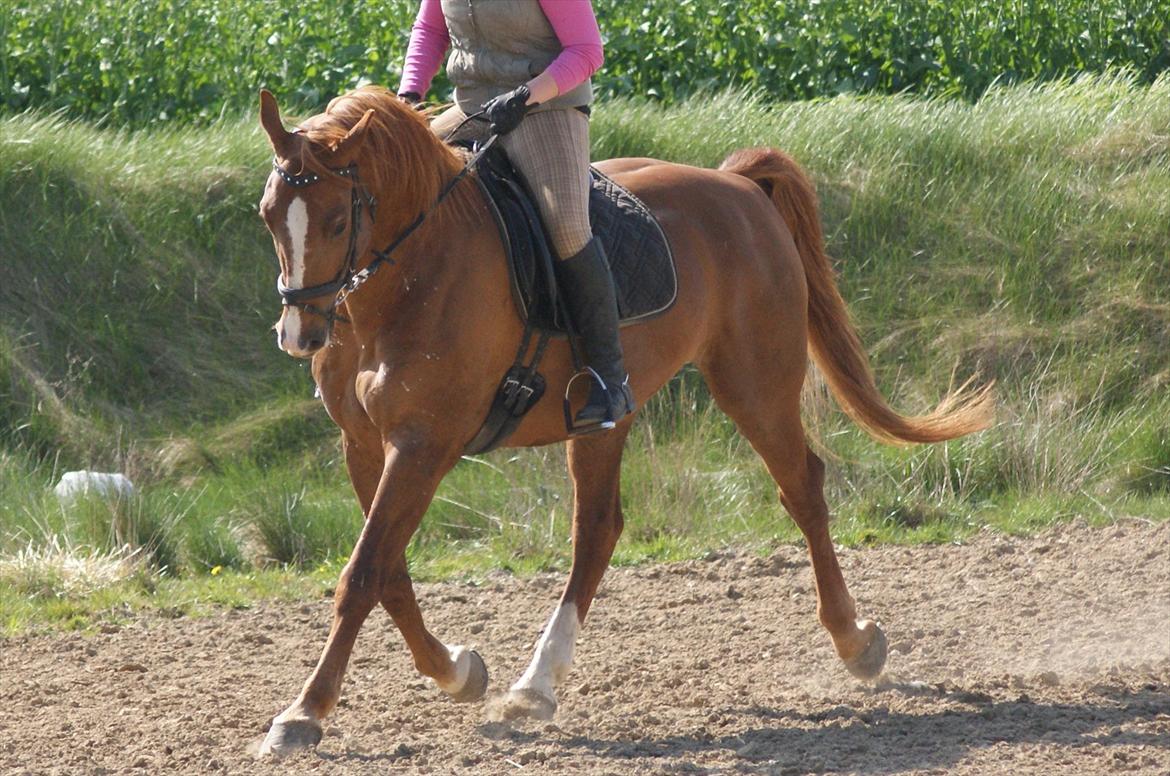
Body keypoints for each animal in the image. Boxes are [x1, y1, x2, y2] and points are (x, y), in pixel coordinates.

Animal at [253, 86, 987, 758]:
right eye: (269, 217)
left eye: (334, 220)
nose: (298, 335)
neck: (410, 275)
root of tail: (737, 186)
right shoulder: (364, 445)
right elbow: (390, 573)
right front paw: (460, 671)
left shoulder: (421, 444)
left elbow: (363, 574)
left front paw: (303, 713)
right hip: (605, 419)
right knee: (598, 531)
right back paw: (536, 685)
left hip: (753, 384)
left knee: (801, 488)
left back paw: (856, 643)